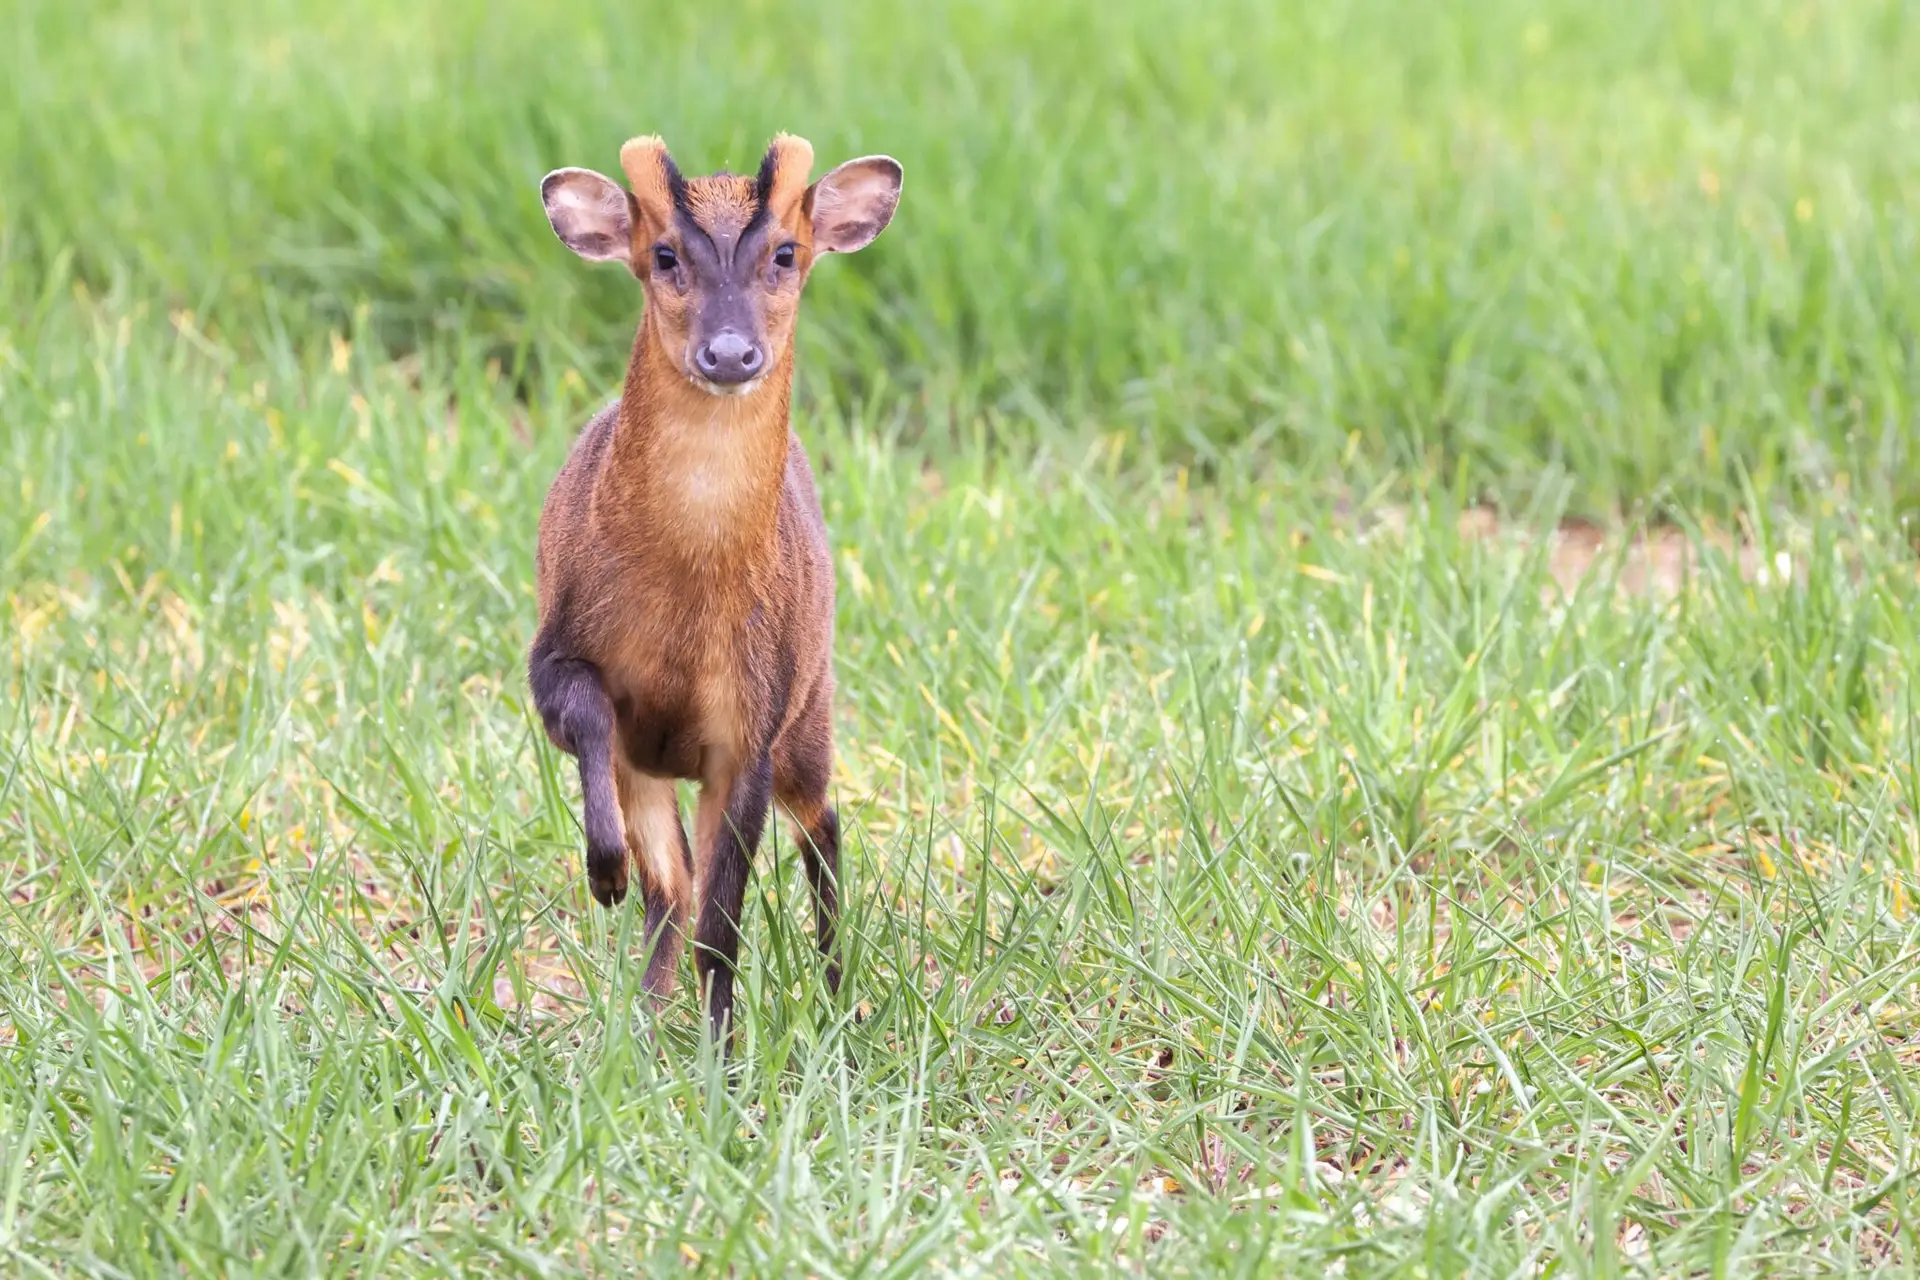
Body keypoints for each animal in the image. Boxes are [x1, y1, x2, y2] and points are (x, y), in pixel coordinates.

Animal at [527, 133, 901, 1043]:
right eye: (664, 256)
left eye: (786, 253)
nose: (730, 353)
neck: (683, 597)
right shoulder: (558, 655)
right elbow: (593, 727)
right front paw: (603, 873)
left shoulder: (751, 725)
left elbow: (721, 931)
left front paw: (722, 1055)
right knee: (673, 885)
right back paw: (642, 1017)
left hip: (811, 707)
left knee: (822, 823)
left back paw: (836, 993)